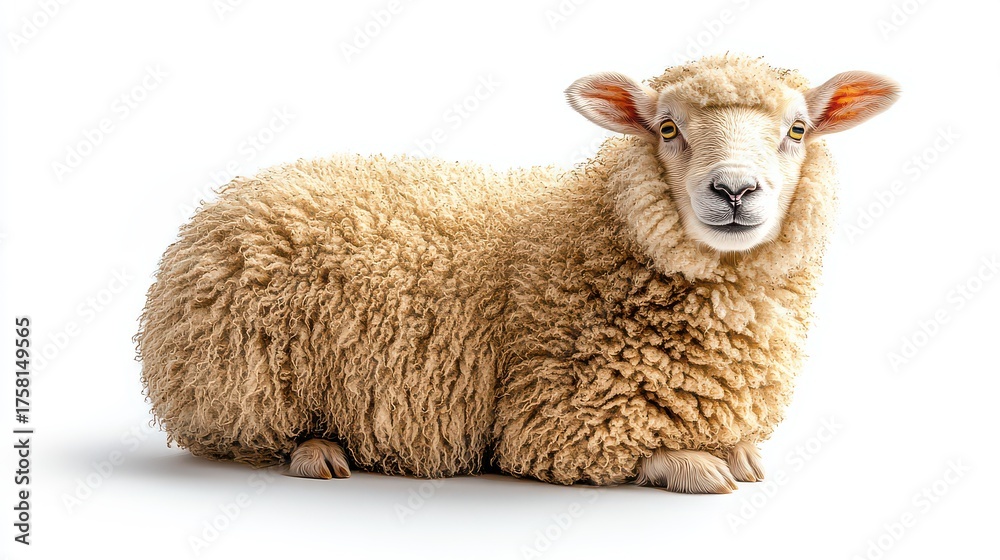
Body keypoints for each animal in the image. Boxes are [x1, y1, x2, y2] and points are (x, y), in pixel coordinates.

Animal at [136, 54, 899, 493]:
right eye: (667, 129)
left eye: (798, 130)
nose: (735, 191)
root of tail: (221, 202)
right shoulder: (555, 422)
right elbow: (654, 456)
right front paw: (699, 465)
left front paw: (737, 451)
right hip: (238, 387)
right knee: (247, 440)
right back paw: (319, 452)